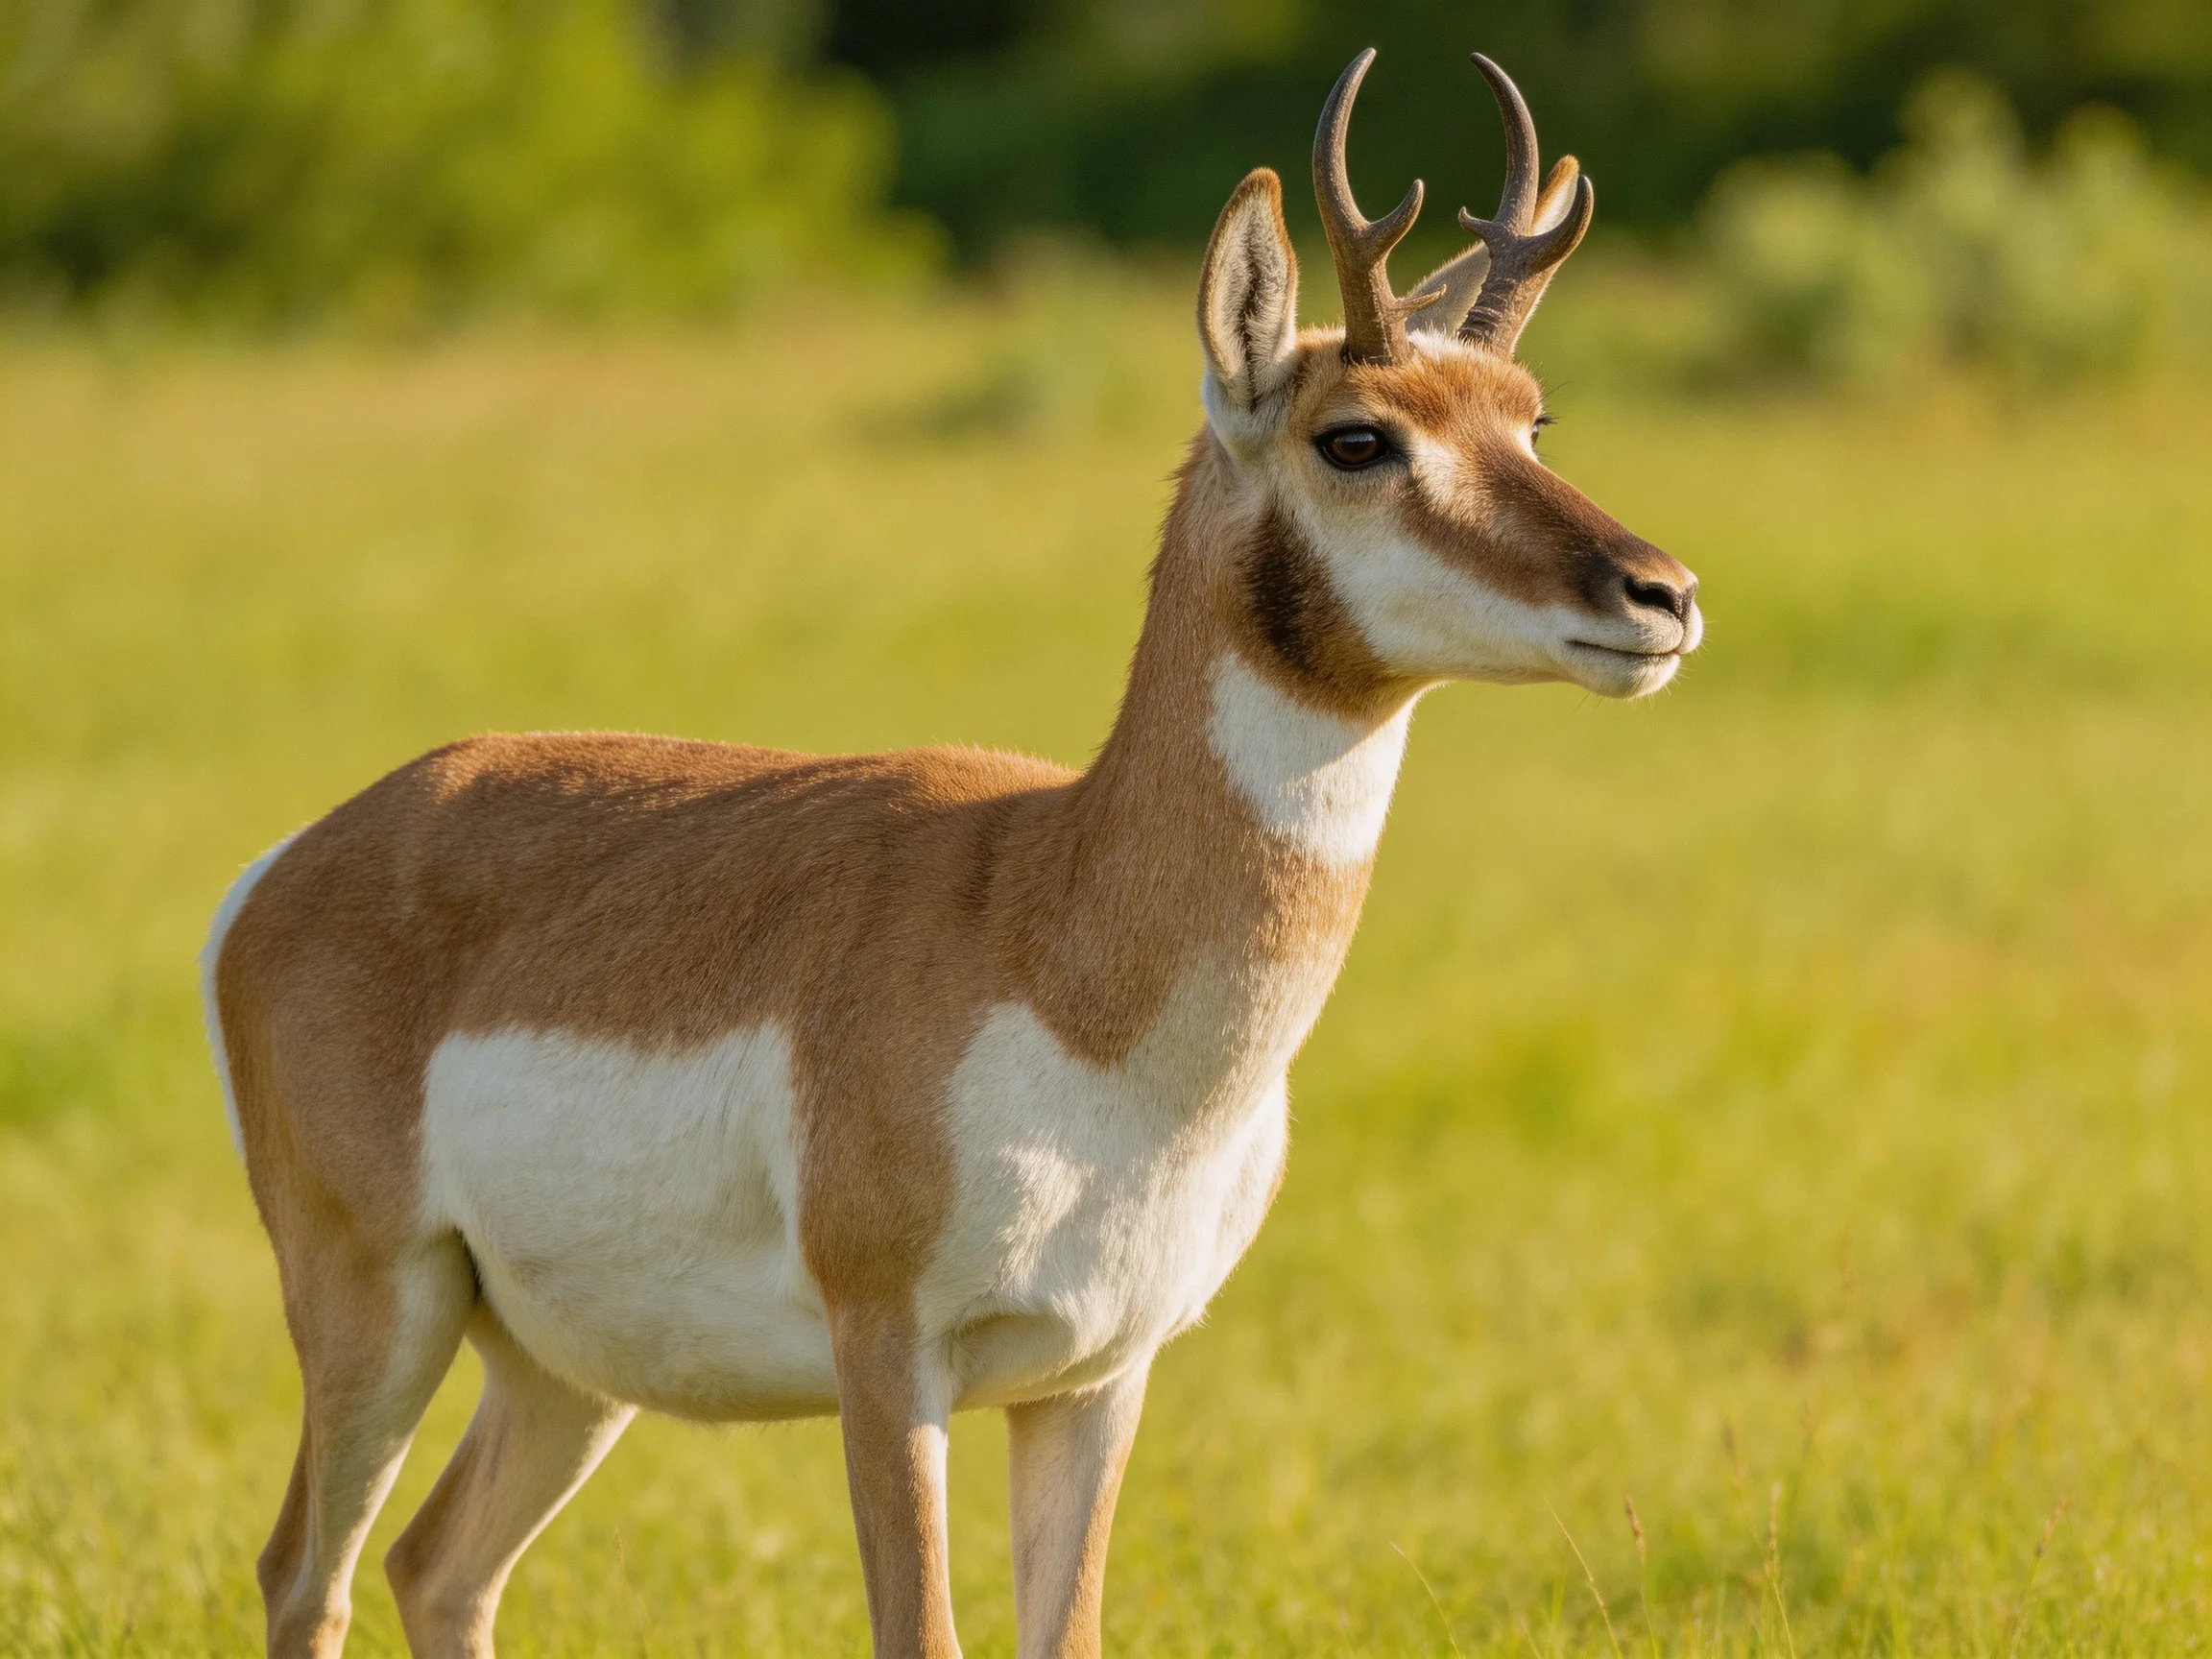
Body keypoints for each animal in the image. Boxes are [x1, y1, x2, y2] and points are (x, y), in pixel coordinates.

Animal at [202, 47, 1700, 1659]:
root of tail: (293, 864)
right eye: (1356, 436)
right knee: (305, 1570)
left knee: (439, 1565)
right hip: (379, 1300)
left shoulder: (1097, 1380)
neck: (1063, 943)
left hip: (563, 1367)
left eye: (1530, 419)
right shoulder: (889, 1356)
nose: (1661, 594)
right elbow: (919, 1629)